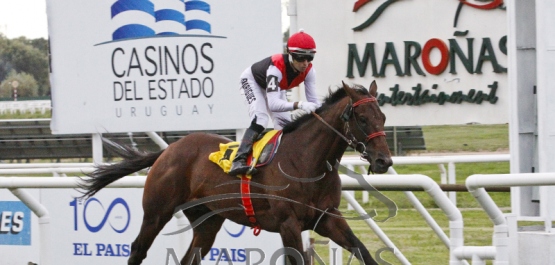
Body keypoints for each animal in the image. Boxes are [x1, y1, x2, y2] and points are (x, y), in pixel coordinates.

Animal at [79, 80, 396, 264]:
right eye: (362, 118)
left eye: (383, 117)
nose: (384, 161)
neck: (309, 163)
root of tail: (169, 150)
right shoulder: (288, 224)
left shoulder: (328, 218)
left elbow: (364, 252)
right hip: (157, 211)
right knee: (137, 249)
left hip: (207, 221)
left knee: (188, 259)